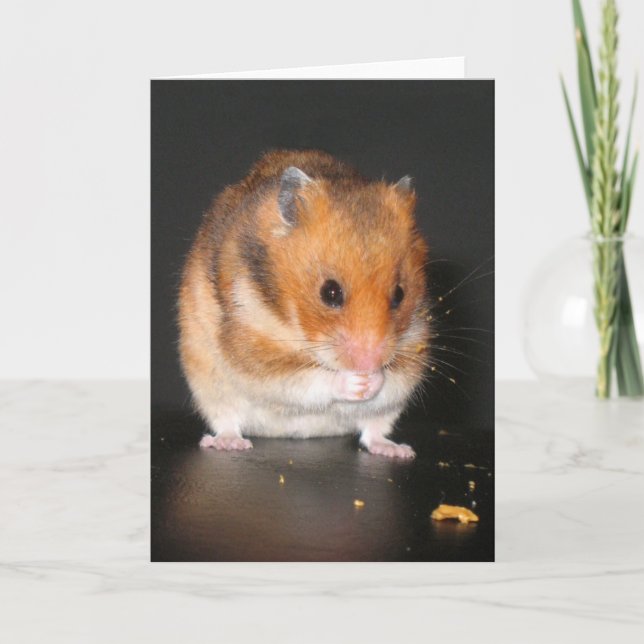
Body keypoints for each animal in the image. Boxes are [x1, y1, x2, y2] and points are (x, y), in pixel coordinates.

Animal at [178, 150, 430, 458]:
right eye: (330, 292)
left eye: (399, 294)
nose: (368, 364)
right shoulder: (255, 347)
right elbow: (312, 378)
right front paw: (357, 381)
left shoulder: (413, 349)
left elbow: (392, 378)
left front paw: (372, 379)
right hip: (211, 386)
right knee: (227, 421)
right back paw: (230, 443)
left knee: (373, 432)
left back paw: (399, 450)